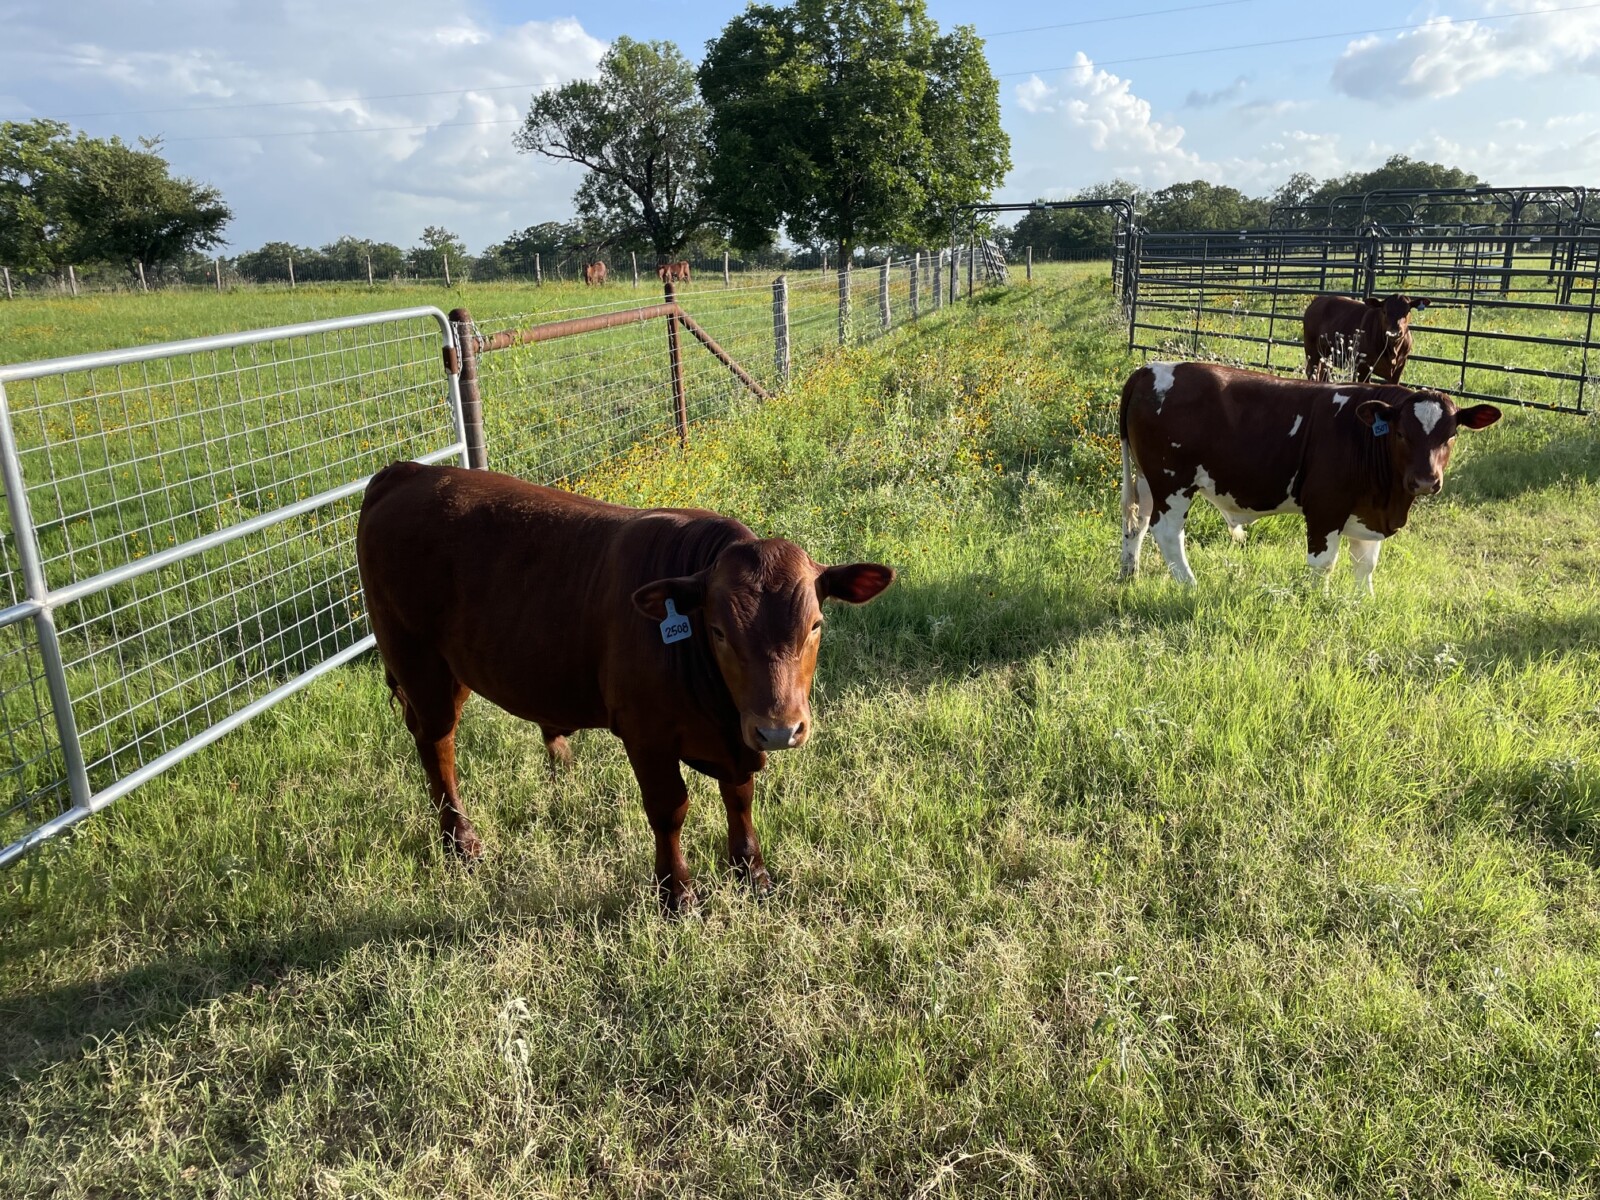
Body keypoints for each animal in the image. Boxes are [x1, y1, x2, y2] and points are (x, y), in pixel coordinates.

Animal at [356, 462, 895, 911]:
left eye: (816, 624)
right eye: (718, 630)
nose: (779, 730)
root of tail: (407, 471)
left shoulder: (738, 738)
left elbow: (739, 797)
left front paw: (752, 873)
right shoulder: (647, 735)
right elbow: (669, 808)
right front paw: (676, 894)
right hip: (420, 663)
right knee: (437, 743)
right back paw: (460, 840)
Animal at [1119, 362, 1500, 593]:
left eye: (1451, 435)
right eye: (1402, 434)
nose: (1424, 481)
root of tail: (1150, 368)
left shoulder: (1369, 512)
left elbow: (1366, 564)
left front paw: (1364, 603)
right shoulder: (1325, 508)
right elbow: (1323, 564)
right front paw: (1320, 602)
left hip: (1147, 480)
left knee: (1136, 524)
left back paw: (1129, 574)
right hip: (1172, 481)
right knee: (1167, 532)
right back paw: (1190, 586)